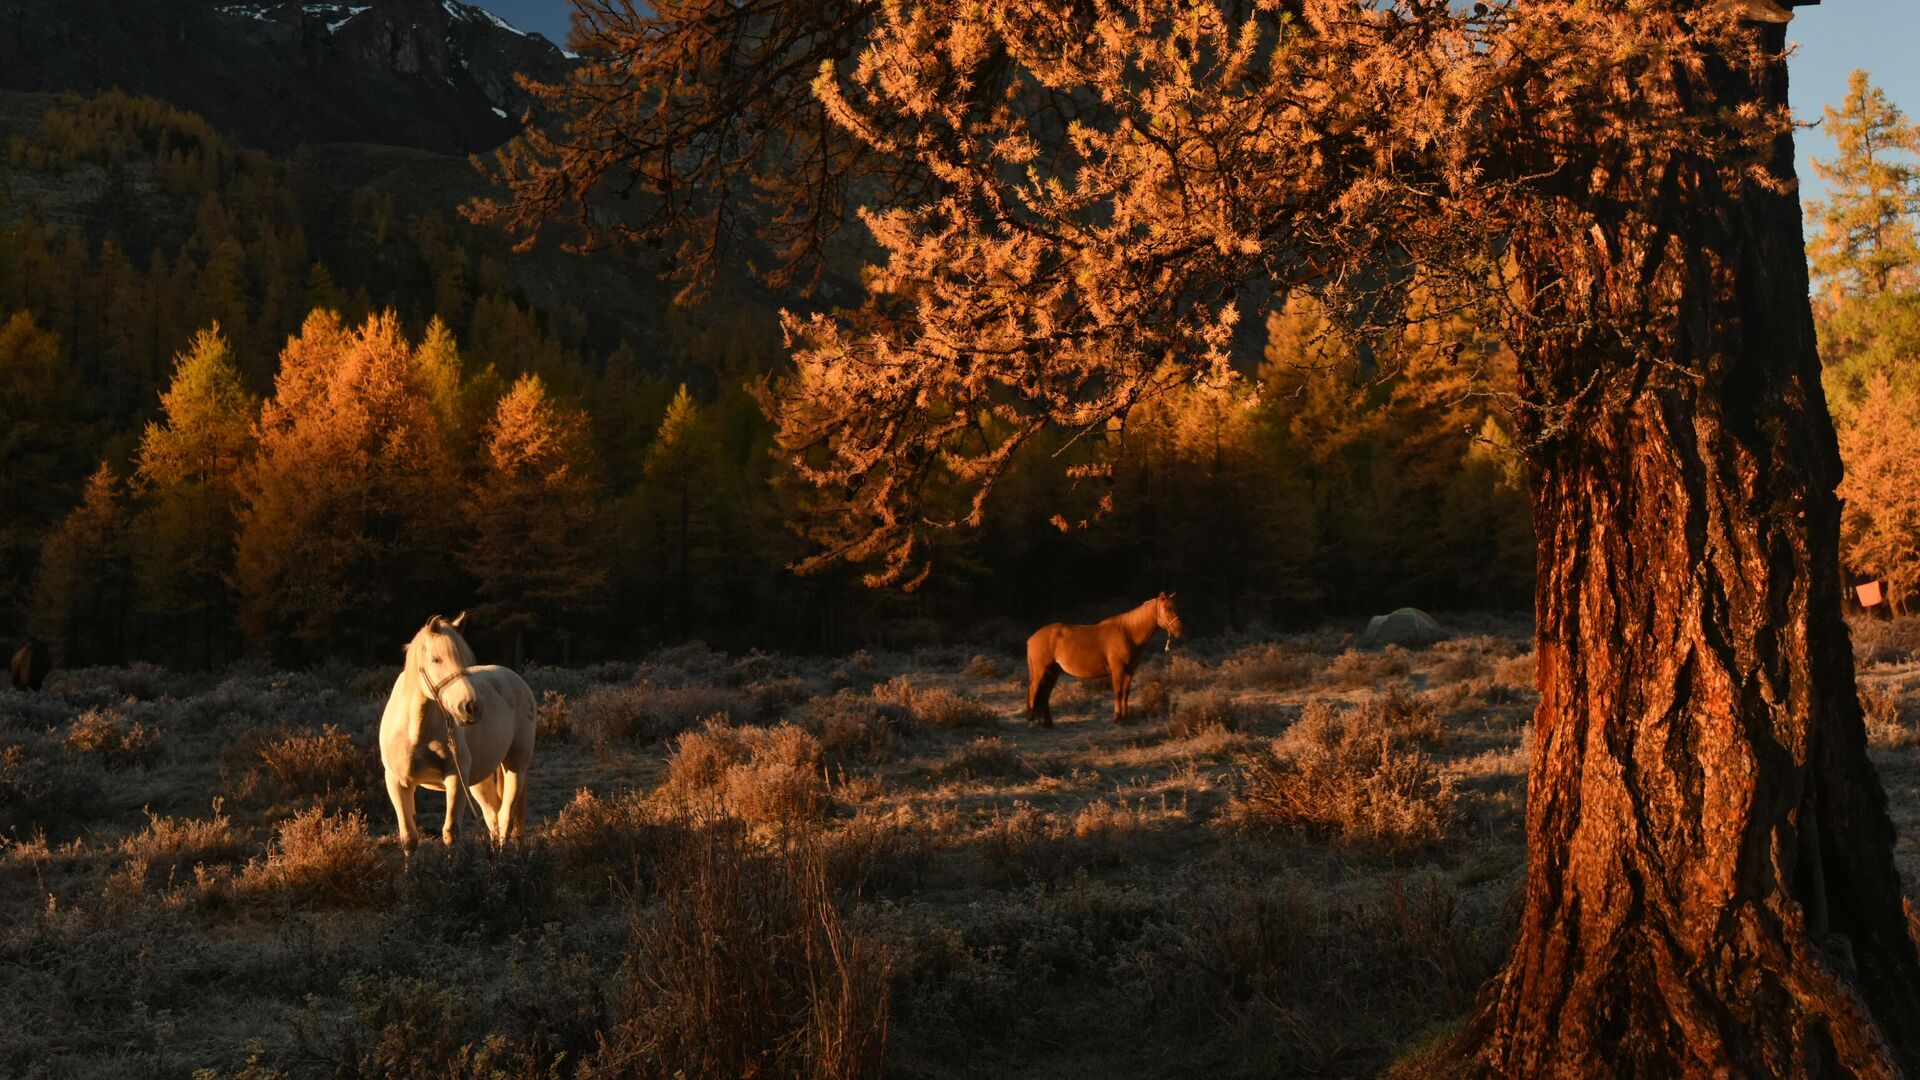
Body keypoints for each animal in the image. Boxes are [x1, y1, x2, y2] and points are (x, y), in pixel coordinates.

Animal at [378, 614, 537, 849]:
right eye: (436, 659)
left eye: (464, 660)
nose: (470, 707)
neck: (414, 731)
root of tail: (516, 679)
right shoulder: (398, 783)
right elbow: (409, 839)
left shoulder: (455, 779)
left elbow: (450, 833)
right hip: (480, 778)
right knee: (494, 817)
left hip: (516, 766)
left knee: (506, 818)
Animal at [1029, 588, 1175, 722]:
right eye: (1167, 609)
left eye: (1175, 607)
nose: (1179, 629)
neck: (1128, 633)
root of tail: (1031, 639)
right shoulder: (1118, 670)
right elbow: (1118, 692)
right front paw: (1117, 719)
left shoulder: (1129, 671)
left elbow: (1125, 693)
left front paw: (1125, 719)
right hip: (1040, 672)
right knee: (1033, 691)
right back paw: (1032, 721)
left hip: (1053, 672)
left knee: (1045, 695)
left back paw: (1048, 723)